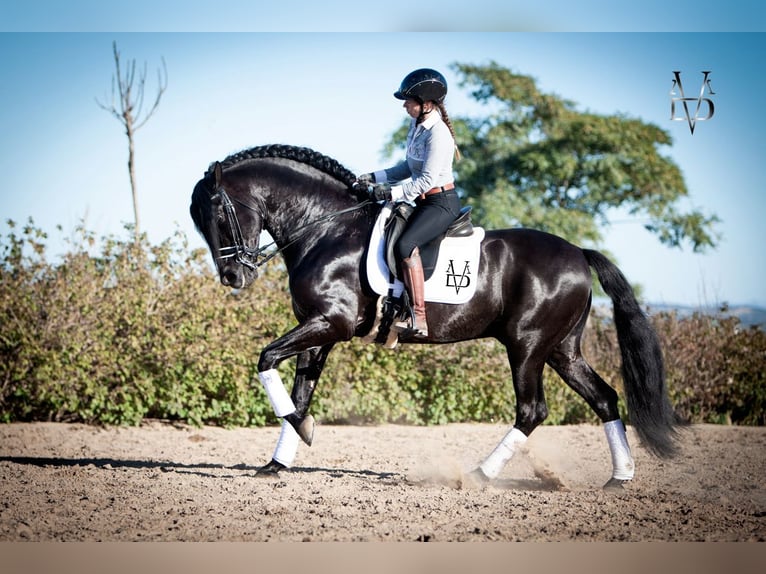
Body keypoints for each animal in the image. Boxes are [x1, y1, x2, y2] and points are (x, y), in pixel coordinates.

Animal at [190, 144, 680, 490]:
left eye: (219, 214)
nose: (233, 276)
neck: (327, 228)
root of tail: (578, 252)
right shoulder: (319, 330)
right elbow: (300, 393)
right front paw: (279, 459)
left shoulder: (331, 323)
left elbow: (266, 358)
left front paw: (300, 434)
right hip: (561, 350)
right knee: (605, 399)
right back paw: (619, 479)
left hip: (527, 347)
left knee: (532, 410)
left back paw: (479, 476)